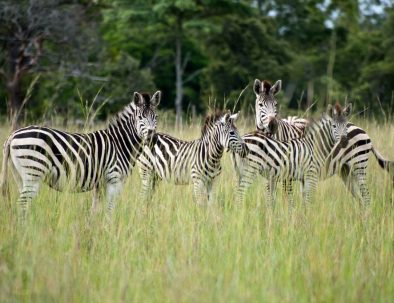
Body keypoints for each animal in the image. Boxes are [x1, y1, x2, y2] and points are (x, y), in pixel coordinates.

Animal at [0, 91, 162, 221]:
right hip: (33, 172)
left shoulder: (100, 184)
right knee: (22, 203)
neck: (119, 143)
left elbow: (95, 210)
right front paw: (107, 231)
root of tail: (12, 135)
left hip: (21, 175)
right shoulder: (114, 180)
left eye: (156, 117)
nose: (152, 137)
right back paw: (24, 231)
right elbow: (110, 210)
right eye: (140, 117)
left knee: (23, 203)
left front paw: (92, 231)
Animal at [251, 79, 392, 205]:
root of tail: (360, 128)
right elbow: (270, 200)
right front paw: (272, 217)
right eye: (260, 105)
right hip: (345, 170)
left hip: (359, 165)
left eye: (275, 104)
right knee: (359, 198)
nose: (272, 125)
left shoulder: (287, 174)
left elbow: (289, 200)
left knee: (366, 197)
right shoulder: (271, 175)